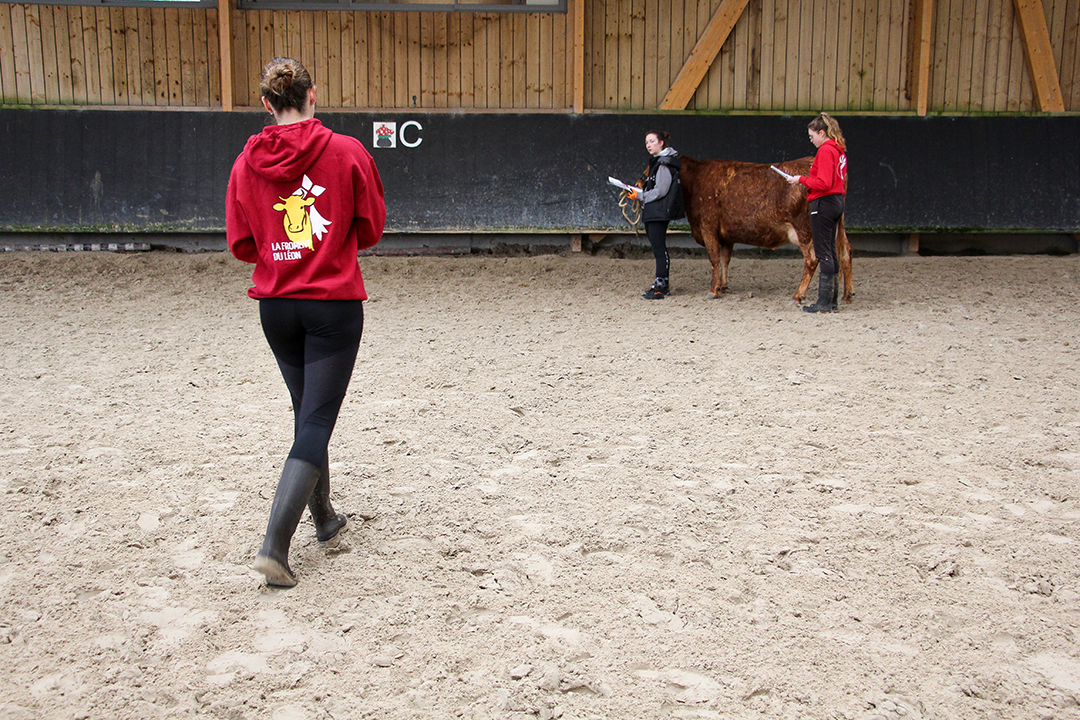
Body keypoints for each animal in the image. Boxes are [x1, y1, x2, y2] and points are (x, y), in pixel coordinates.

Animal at [682, 155, 851, 304]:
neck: (697, 176)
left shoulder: (708, 226)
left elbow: (714, 259)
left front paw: (713, 290)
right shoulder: (727, 236)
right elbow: (725, 259)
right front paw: (722, 286)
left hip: (805, 230)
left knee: (812, 259)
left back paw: (798, 295)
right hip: (837, 227)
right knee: (845, 252)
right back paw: (847, 295)